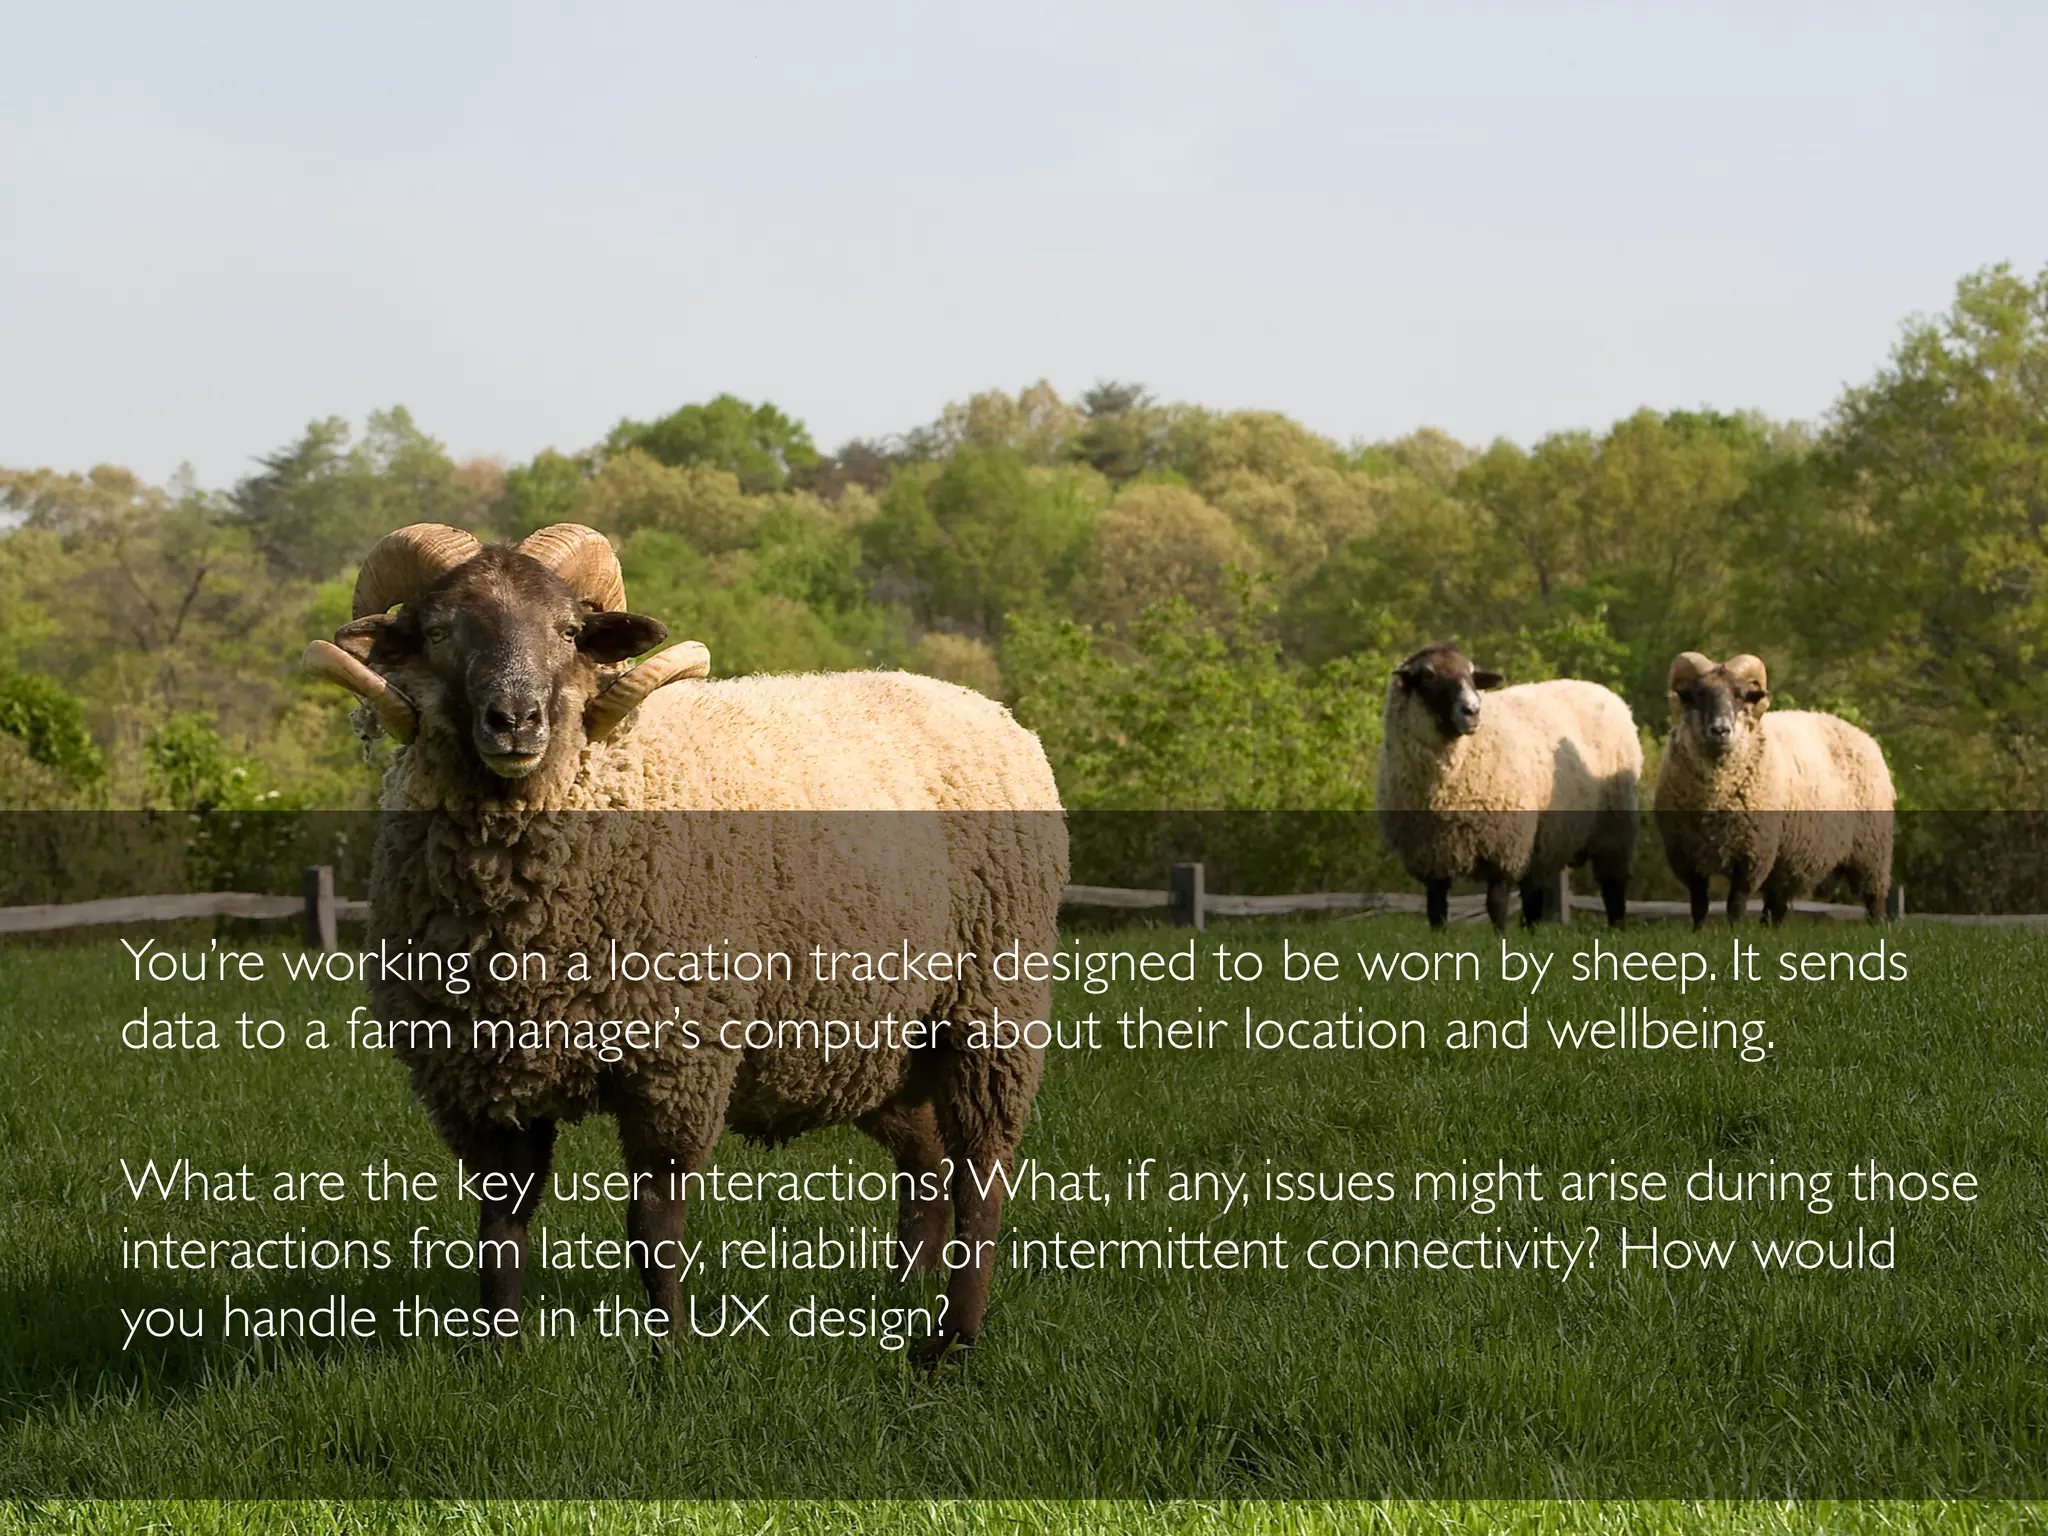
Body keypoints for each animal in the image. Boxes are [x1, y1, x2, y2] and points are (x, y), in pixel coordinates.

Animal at [302, 522, 1068, 1365]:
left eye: (567, 632)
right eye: (439, 632)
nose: (516, 720)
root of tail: (990, 707)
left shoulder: (677, 1060)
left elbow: (653, 1225)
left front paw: (669, 1354)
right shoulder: (478, 1078)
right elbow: (499, 1230)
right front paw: (499, 1354)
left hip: (990, 1007)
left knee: (981, 1176)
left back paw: (950, 1340)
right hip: (878, 1043)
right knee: (925, 1160)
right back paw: (902, 1295)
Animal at [1376, 643, 1642, 932]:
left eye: (1472, 675)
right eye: (1428, 675)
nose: (1472, 710)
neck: (1445, 793)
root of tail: (1601, 689)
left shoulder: (1504, 846)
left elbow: (1496, 903)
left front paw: (1499, 937)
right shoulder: (1430, 855)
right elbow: (1436, 908)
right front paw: (1439, 939)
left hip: (1614, 827)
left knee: (1613, 885)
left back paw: (1616, 927)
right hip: (1543, 840)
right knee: (1533, 892)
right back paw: (1531, 931)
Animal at [1653, 651, 1893, 927]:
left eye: (1741, 695)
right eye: (1698, 694)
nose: (1721, 730)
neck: (1715, 796)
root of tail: (1862, 734)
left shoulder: (1753, 854)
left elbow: (1736, 904)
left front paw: (1732, 933)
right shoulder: (1687, 856)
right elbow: (1699, 905)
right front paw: (1698, 932)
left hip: (1872, 851)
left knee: (1875, 899)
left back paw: (1877, 927)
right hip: (1790, 857)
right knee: (1777, 903)